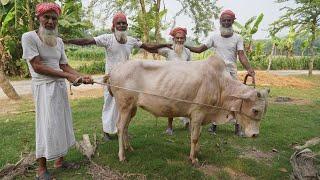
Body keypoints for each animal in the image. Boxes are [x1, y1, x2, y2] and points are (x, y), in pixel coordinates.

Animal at [106, 56, 268, 165]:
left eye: (264, 111)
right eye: (255, 110)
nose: (255, 135)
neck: (220, 83)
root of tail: (115, 70)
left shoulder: (199, 116)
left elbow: (198, 135)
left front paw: (197, 152)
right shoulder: (198, 113)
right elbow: (195, 137)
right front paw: (193, 159)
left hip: (131, 108)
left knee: (126, 127)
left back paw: (129, 148)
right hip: (124, 105)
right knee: (120, 127)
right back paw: (122, 156)